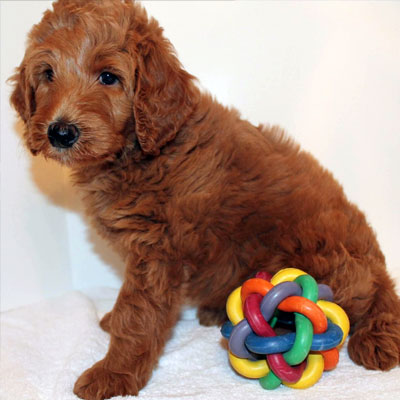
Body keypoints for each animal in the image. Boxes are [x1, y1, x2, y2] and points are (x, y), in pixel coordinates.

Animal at [9, 0, 400, 400]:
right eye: (48, 74)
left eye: (108, 77)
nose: (60, 132)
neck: (140, 152)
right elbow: (127, 304)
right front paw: (114, 327)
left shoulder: (156, 251)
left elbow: (138, 315)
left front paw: (114, 374)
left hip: (327, 256)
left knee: (378, 291)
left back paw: (376, 337)